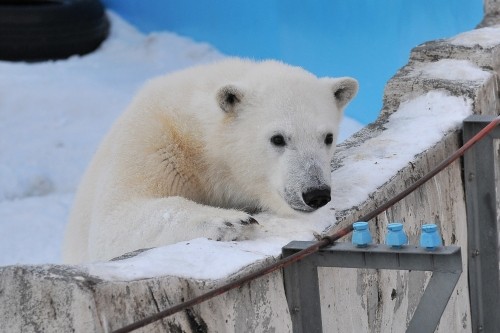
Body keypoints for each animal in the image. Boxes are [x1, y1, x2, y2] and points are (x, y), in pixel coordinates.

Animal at [62, 59, 358, 262]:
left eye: (328, 137)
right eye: (278, 139)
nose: (316, 193)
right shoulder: (150, 142)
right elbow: (114, 220)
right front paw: (233, 222)